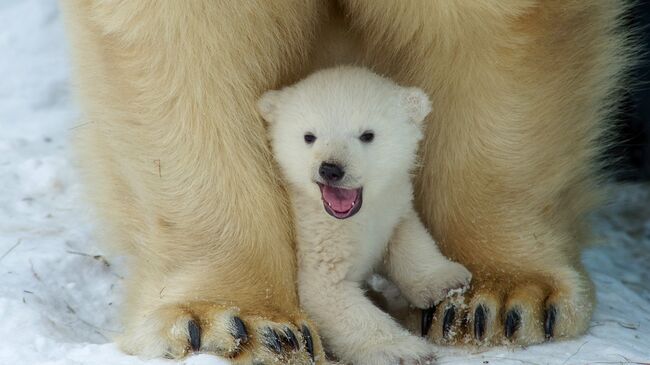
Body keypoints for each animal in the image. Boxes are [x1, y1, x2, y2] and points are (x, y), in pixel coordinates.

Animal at [60, 0, 628, 362]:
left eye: (369, 134)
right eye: (308, 136)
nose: (330, 169)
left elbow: (500, 31)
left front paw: (499, 300)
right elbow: (178, 43)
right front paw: (236, 324)